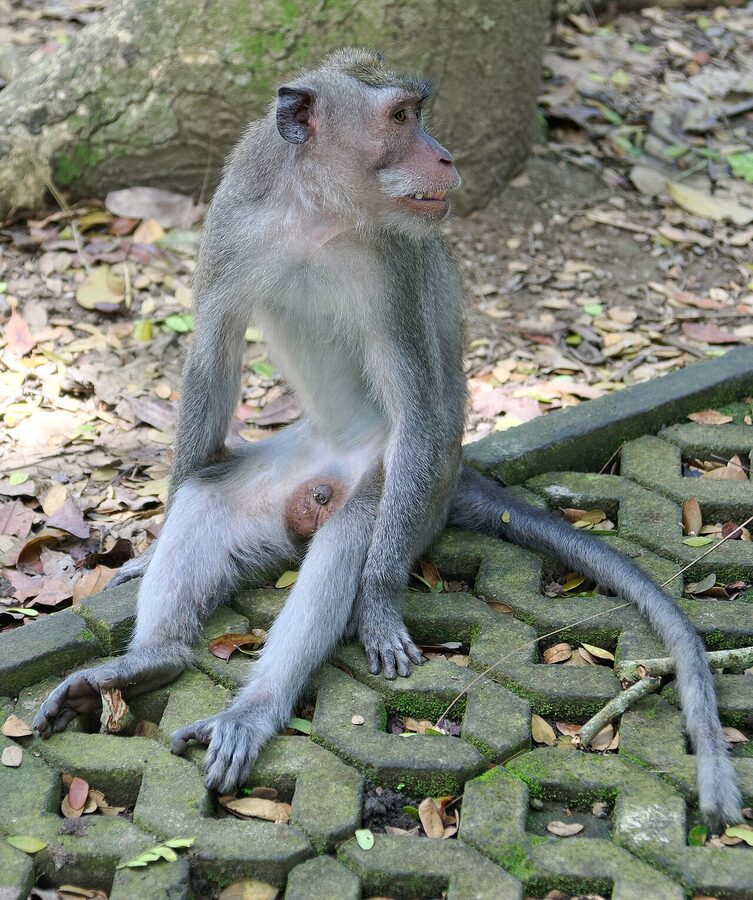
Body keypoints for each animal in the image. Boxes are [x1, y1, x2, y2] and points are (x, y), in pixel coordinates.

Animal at [34, 49, 741, 829]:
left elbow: (417, 400)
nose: (445, 155)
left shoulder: (395, 263)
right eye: (402, 118)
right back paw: (153, 659)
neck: (319, 214)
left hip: (410, 483)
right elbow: (212, 355)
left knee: (353, 528)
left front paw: (374, 602)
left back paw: (255, 706)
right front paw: (148, 550)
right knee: (210, 497)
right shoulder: (233, 221)